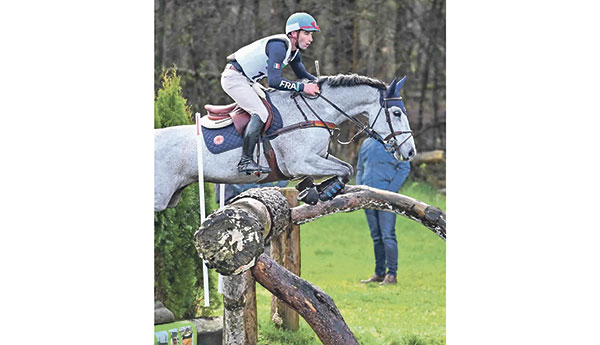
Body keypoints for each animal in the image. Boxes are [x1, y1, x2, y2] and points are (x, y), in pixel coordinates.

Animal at [155, 74, 418, 211]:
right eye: (396, 113)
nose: (410, 152)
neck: (314, 110)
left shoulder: (318, 157)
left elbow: (346, 168)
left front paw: (317, 190)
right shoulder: (300, 162)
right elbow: (346, 169)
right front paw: (324, 191)